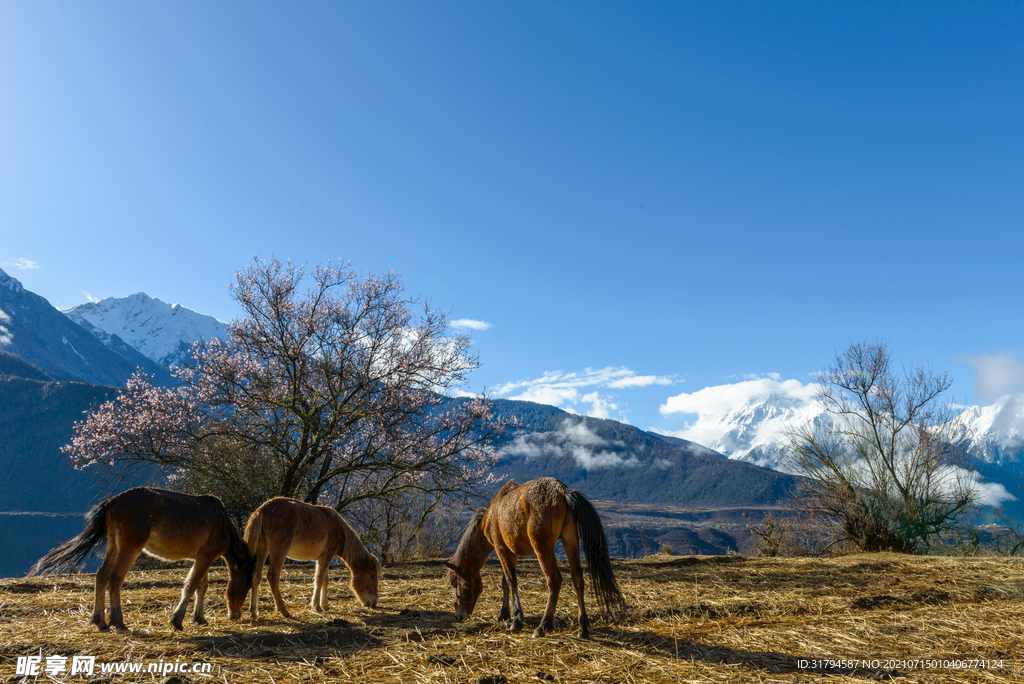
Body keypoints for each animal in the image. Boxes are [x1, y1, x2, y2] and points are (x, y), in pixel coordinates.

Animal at [27, 485, 253, 630]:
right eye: (247, 586)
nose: (235, 615)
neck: (222, 522)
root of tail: (114, 500)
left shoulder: (201, 558)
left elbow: (200, 586)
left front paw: (199, 618)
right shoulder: (207, 557)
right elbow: (191, 586)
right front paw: (177, 621)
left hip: (115, 545)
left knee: (102, 576)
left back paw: (100, 621)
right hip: (130, 548)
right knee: (115, 578)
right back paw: (118, 621)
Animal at [244, 497, 385, 618]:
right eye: (372, 577)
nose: (374, 603)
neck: (339, 529)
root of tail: (262, 510)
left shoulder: (322, 558)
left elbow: (325, 580)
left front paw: (325, 605)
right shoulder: (327, 555)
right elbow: (320, 578)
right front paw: (317, 606)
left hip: (262, 550)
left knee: (256, 576)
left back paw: (253, 612)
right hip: (279, 551)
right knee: (272, 577)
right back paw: (283, 610)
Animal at [446, 479, 622, 638]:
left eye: (454, 583)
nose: (458, 615)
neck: (492, 516)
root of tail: (563, 491)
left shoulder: (502, 549)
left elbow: (511, 581)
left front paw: (516, 620)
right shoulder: (512, 552)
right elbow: (506, 583)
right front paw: (504, 614)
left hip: (542, 548)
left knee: (554, 580)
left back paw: (543, 627)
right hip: (570, 541)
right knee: (577, 578)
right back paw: (582, 628)